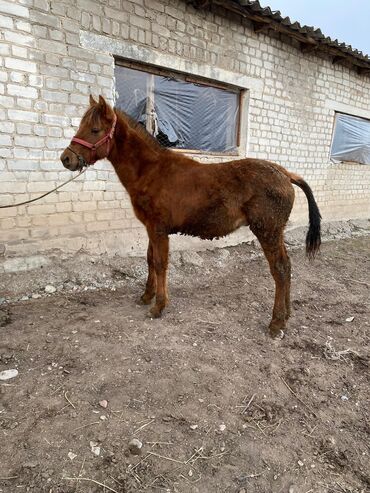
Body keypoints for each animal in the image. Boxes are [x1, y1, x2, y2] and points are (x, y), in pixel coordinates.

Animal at [60, 94, 320, 336]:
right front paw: (146, 296)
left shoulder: (158, 229)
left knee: (280, 269)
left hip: (267, 231)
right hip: (276, 232)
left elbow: (160, 263)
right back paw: (287, 314)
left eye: (94, 130)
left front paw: (158, 306)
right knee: (287, 266)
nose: (66, 159)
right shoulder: (150, 228)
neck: (151, 171)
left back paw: (276, 322)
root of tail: (285, 174)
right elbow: (150, 260)